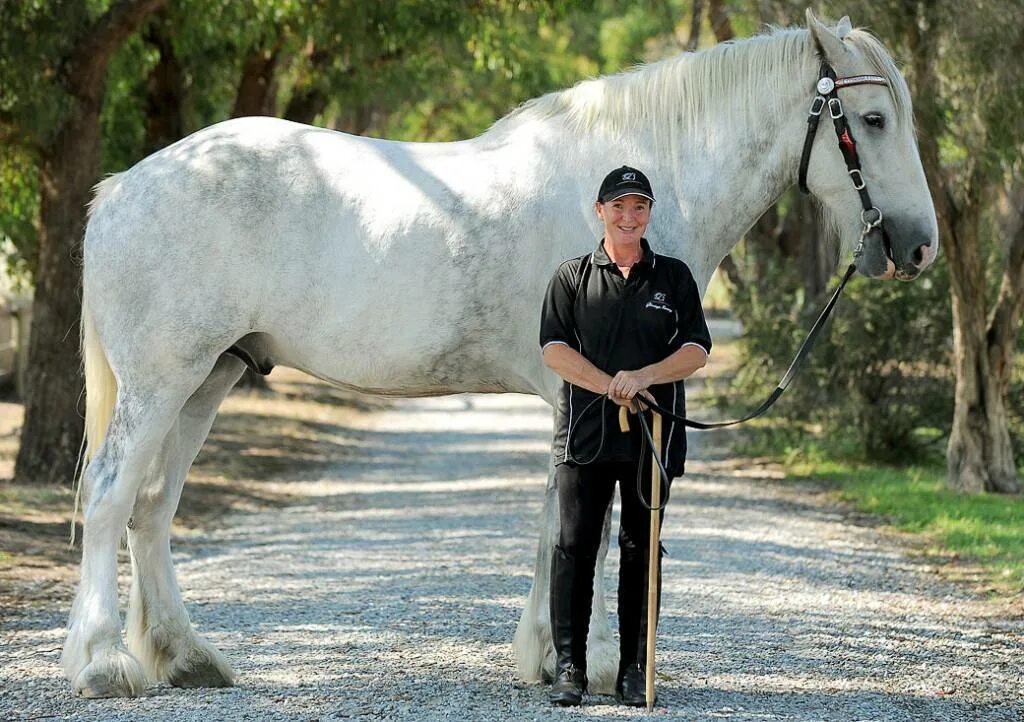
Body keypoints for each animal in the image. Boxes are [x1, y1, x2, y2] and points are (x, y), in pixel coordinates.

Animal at [66, 11, 937, 696]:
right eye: (874, 120)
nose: (919, 246)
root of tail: (125, 185)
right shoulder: (586, 394)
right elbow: (581, 521)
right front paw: (582, 661)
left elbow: (563, 518)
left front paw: (551, 655)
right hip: (162, 380)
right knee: (110, 497)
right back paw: (101, 665)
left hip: (208, 378)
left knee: (153, 509)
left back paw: (186, 658)